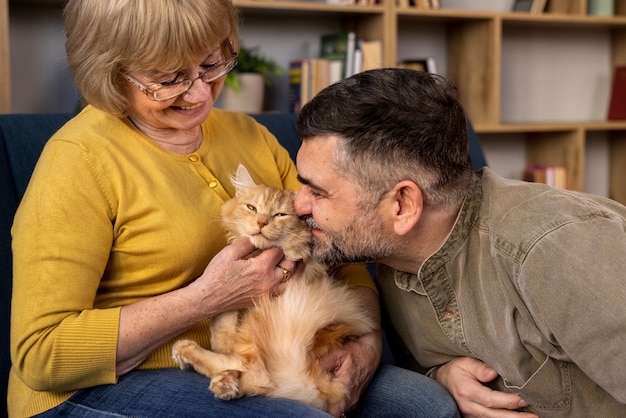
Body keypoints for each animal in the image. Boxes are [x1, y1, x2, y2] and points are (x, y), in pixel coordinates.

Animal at [171, 164, 372, 412]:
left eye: (279, 215)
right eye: (252, 208)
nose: (261, 223)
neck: (261, 253)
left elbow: (223, 320)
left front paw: (221, 344)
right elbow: (222, 313)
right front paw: (222, 341)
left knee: (255, 374)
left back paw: (201, 362)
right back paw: (223, 379)